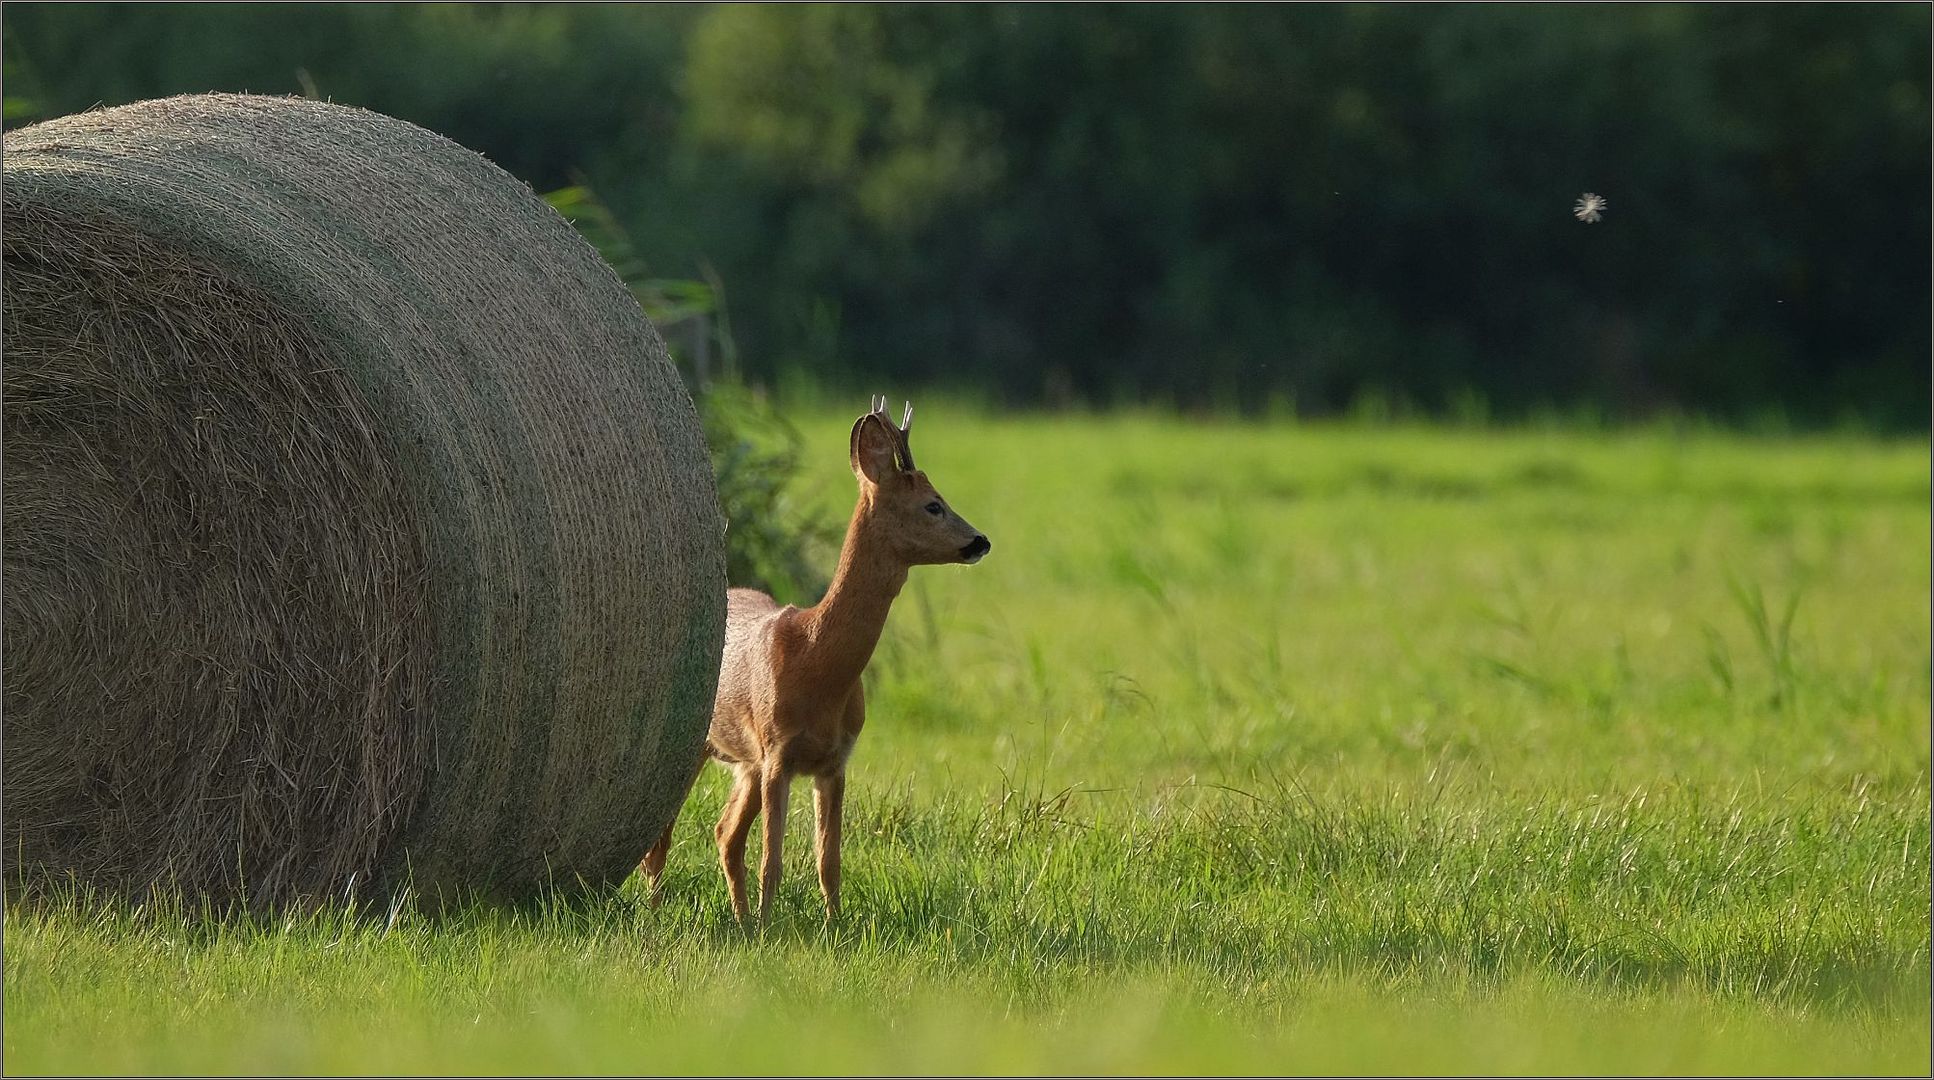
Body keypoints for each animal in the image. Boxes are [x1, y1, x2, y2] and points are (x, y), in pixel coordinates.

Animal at [642, 398, 990, 921]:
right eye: (933, 504)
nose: (980, 541)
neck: (817, 664)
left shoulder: (834, 759)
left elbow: (829, 860)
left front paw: (833, 925)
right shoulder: (778, 753)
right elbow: (773, 860)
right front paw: (771, 928)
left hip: (744, 763)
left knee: (725, 835)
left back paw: (739, 920)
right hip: (696, 747)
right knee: (661, 842)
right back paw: (661, 909)